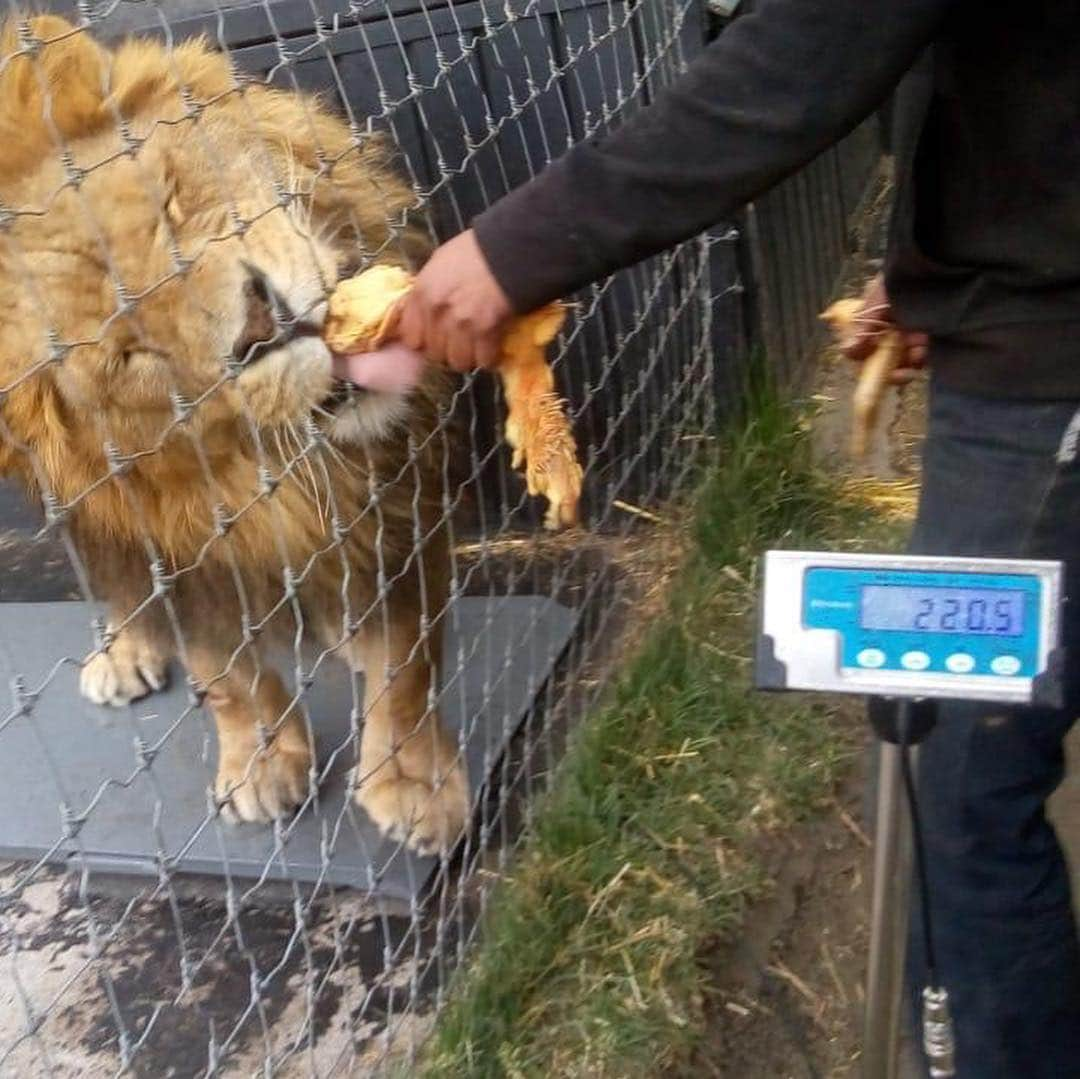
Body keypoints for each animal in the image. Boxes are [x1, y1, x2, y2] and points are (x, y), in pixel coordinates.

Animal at [0, 14, 468, 851]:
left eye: (169, 201)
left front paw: (412, 780)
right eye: (127, 355)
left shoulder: (401, 495)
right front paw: (259, 761)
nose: (263, 323)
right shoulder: (182, 551)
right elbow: (225, 674)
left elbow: (407, 660)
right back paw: (124, 650)